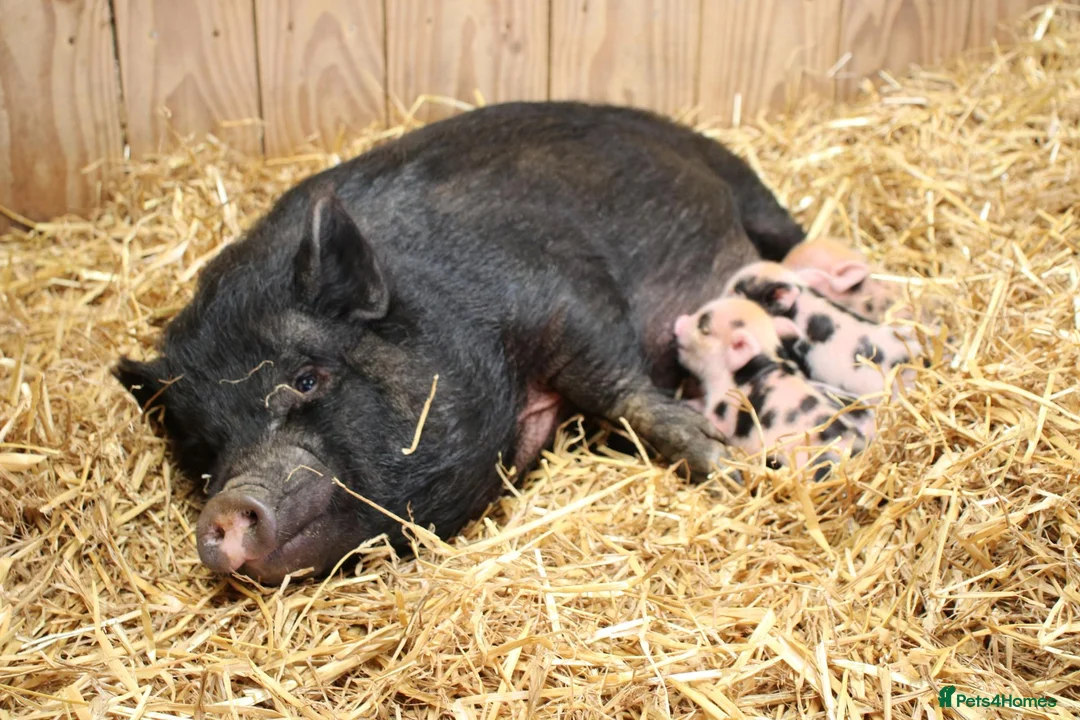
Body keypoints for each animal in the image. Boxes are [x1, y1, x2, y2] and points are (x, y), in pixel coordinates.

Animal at [113, 101, 808, 583]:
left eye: (306, 378)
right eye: (206, 448)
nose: (225, 509)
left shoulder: (562, 295)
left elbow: (617, 388)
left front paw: (730, 466)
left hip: (758, 203)